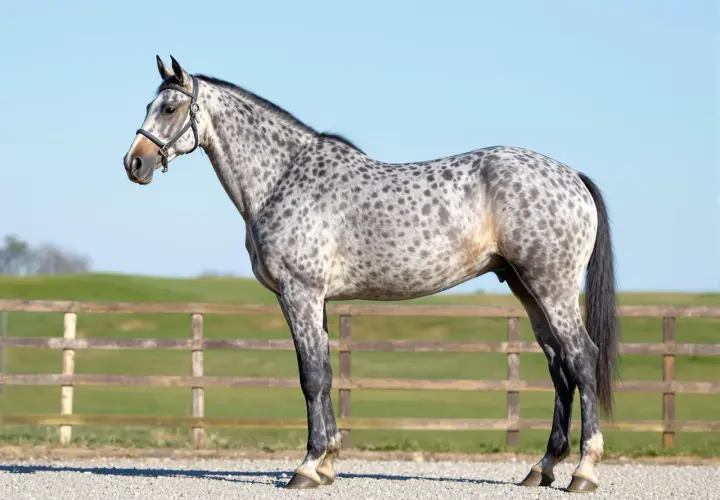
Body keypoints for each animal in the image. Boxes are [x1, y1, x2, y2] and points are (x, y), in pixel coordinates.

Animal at [123, 55, 618, 493]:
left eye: (170, 108)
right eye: (149, 105)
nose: (134, 163)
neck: (282, 177)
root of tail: (572, 176)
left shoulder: (300, 294)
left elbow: (311, 377)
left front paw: (306, 467)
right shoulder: (314, 300)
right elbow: (323, 374)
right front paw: (327, 464)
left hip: (551, 287)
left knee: (582, 359)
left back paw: (584, 472)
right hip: (526, 288)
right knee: (559, 368)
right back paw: (543, 467)